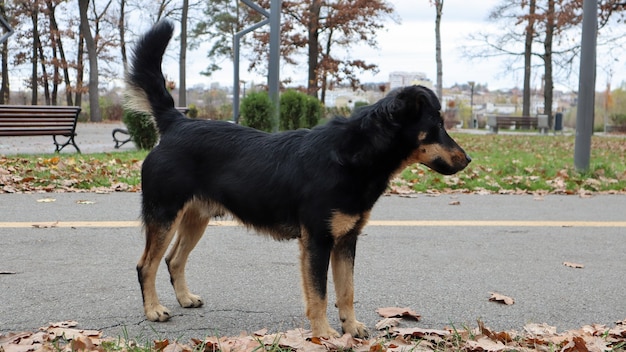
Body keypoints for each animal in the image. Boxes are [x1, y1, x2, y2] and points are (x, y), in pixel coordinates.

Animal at [125, 20, 468, 338]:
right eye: (437, 125)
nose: (467, 160)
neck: (353, 154)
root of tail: (176, 123)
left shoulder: (346, 241)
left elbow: (347, 291)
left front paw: (351, 326)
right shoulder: (317, 241)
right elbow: (320, 294)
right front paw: (324, 334)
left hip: (196, 218)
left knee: (173, 260)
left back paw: (185, 298)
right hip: (164, 216)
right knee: (146, 265)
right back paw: (154, 310)